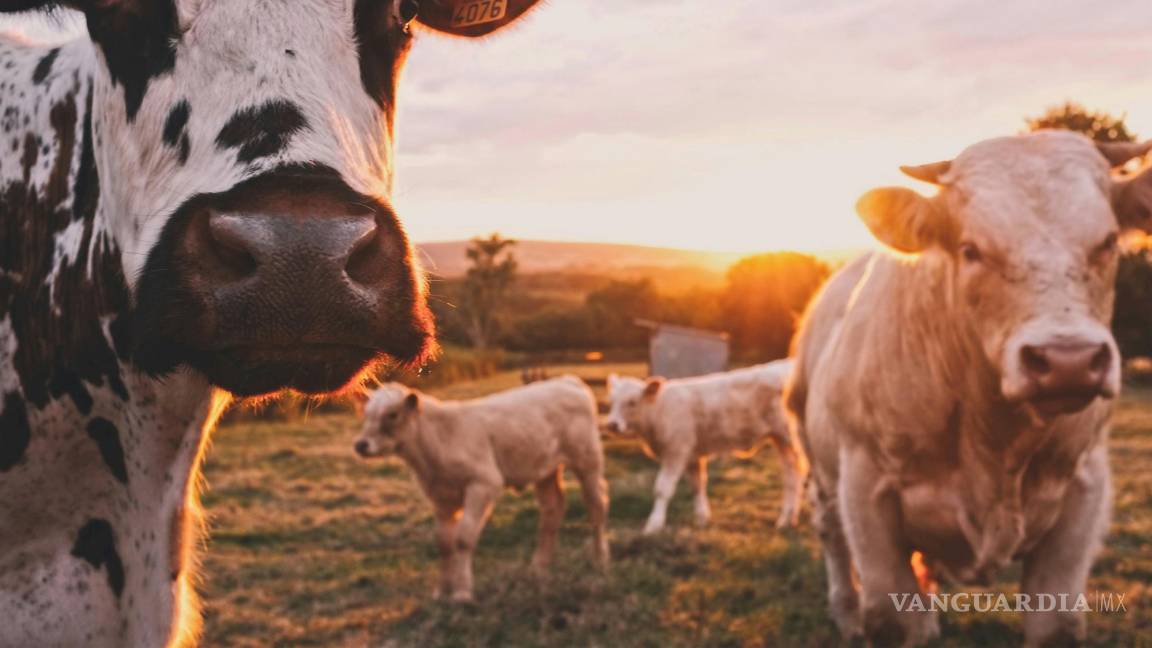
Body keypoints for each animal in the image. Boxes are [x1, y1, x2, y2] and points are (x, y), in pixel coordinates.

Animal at [354, 375, 612, 599]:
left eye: (392, 414)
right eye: (366, 414)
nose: (361, 445)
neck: (438, 441)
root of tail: (566, 380)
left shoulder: (484, 483)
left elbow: (463, 538)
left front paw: (462, 592)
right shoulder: (440, 497)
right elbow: (444, 543)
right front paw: (441, 591)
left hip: (588, 459)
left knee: (596, 504)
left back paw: (600, 559)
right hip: (545, 469)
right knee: (552, 509)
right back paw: (539, 566)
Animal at [608, 359, 806, 532]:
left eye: (632, 402)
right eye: (611, 401)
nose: (612, 424)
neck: (659, 410)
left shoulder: (676, 451)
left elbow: (662, 489)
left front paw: (654, 524)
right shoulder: (692, 455)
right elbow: (698, 485)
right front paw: (702, 517)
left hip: (791, 437)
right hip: (780, 439)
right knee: (792, 473)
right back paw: (787, 519)